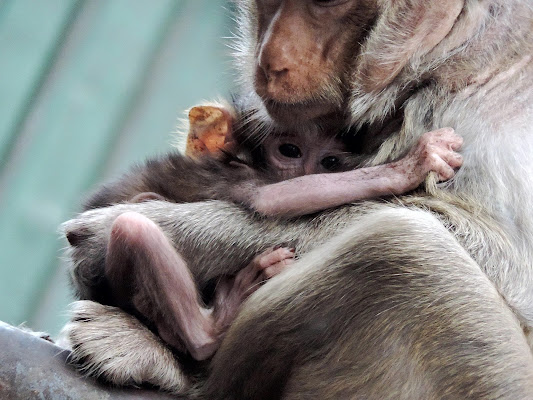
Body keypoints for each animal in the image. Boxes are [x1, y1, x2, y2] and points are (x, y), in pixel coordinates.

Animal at [78, 104, 462, 362]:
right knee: (133, 225)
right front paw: (411, 165)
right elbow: (272, 199)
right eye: (289, 150)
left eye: (330, 162)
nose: (307, 171)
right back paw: (210, 331)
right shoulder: (234, 174)